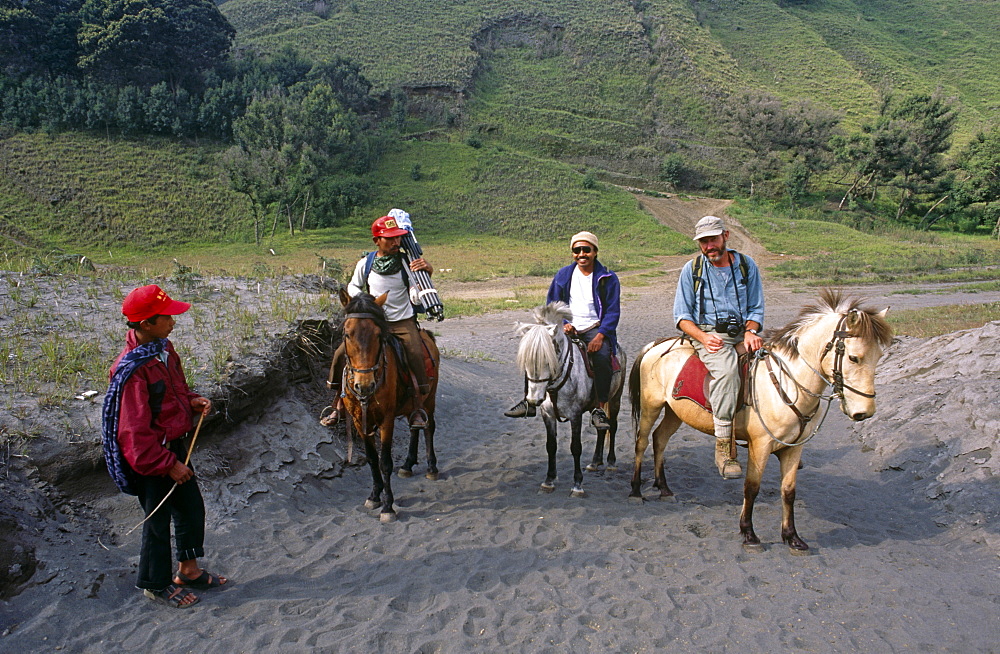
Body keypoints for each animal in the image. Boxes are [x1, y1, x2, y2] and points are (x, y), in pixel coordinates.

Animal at [338, 290, 440, 524]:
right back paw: (408, 465)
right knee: (414, 427)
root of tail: (427, 336)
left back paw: (432, 467)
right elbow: (372, 459)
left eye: (378, 335)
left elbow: (385, 461)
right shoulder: (359, 421)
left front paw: (387, 506)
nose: (364, 385)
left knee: (428, 427)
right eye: (347, 334)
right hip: (413, 404)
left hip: (429, 398)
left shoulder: (386, 420)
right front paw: (374, 496)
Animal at [628, 292, 896, 552]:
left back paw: (664, 488)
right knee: (642, 443)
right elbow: (752, 487)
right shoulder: (760, 445)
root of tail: (657, 345)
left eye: (879, 356)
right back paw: (636, 490)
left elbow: (788, 491)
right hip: (651, 406)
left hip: (675, 412)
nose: (865, 412)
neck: (787, 382)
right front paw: (749, 534)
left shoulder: (794, 448)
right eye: (854, 358)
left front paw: (792, 537)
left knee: (660, 439)